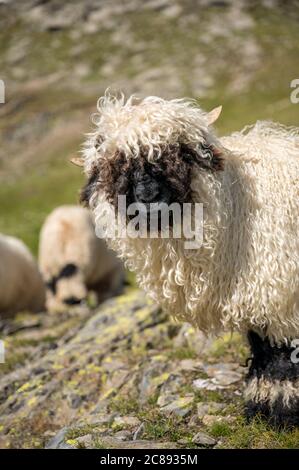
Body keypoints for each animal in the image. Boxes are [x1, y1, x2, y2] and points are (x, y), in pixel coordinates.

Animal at [74, 93, 299, 428]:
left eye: (177, 154)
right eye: (117, 166)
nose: (148, 198)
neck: (238, 206)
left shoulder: (280, 290)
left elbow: (281, 351)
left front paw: (280, 409)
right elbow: (263, 345)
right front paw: (263, 404)